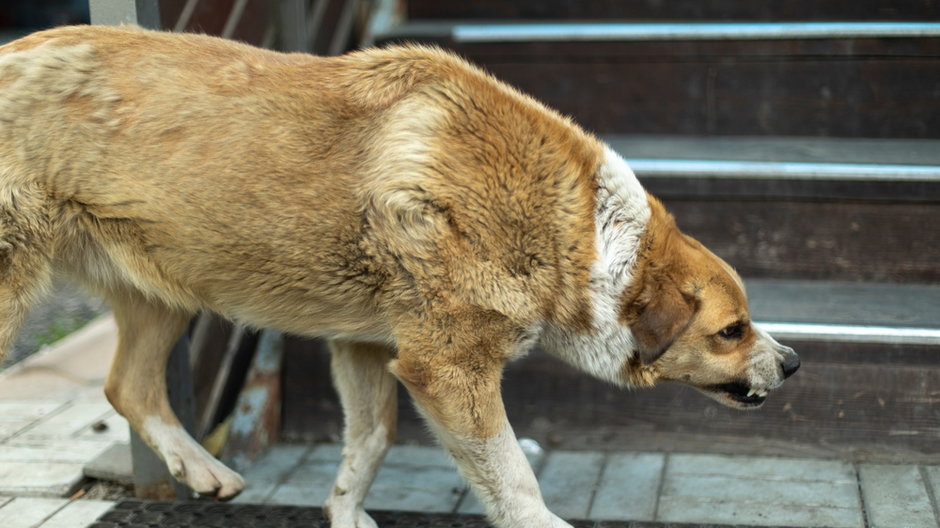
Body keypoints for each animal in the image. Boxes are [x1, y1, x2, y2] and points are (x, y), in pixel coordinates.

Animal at [0, 26, 796, 528]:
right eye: (732, 330)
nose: (792, 361)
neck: (581, 233)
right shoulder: (448, 368)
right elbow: (512, 473)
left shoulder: (369, 349)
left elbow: (372, 442)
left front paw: (345, 512)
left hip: (167, 289)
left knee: (127, 386)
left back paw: (201, 470)